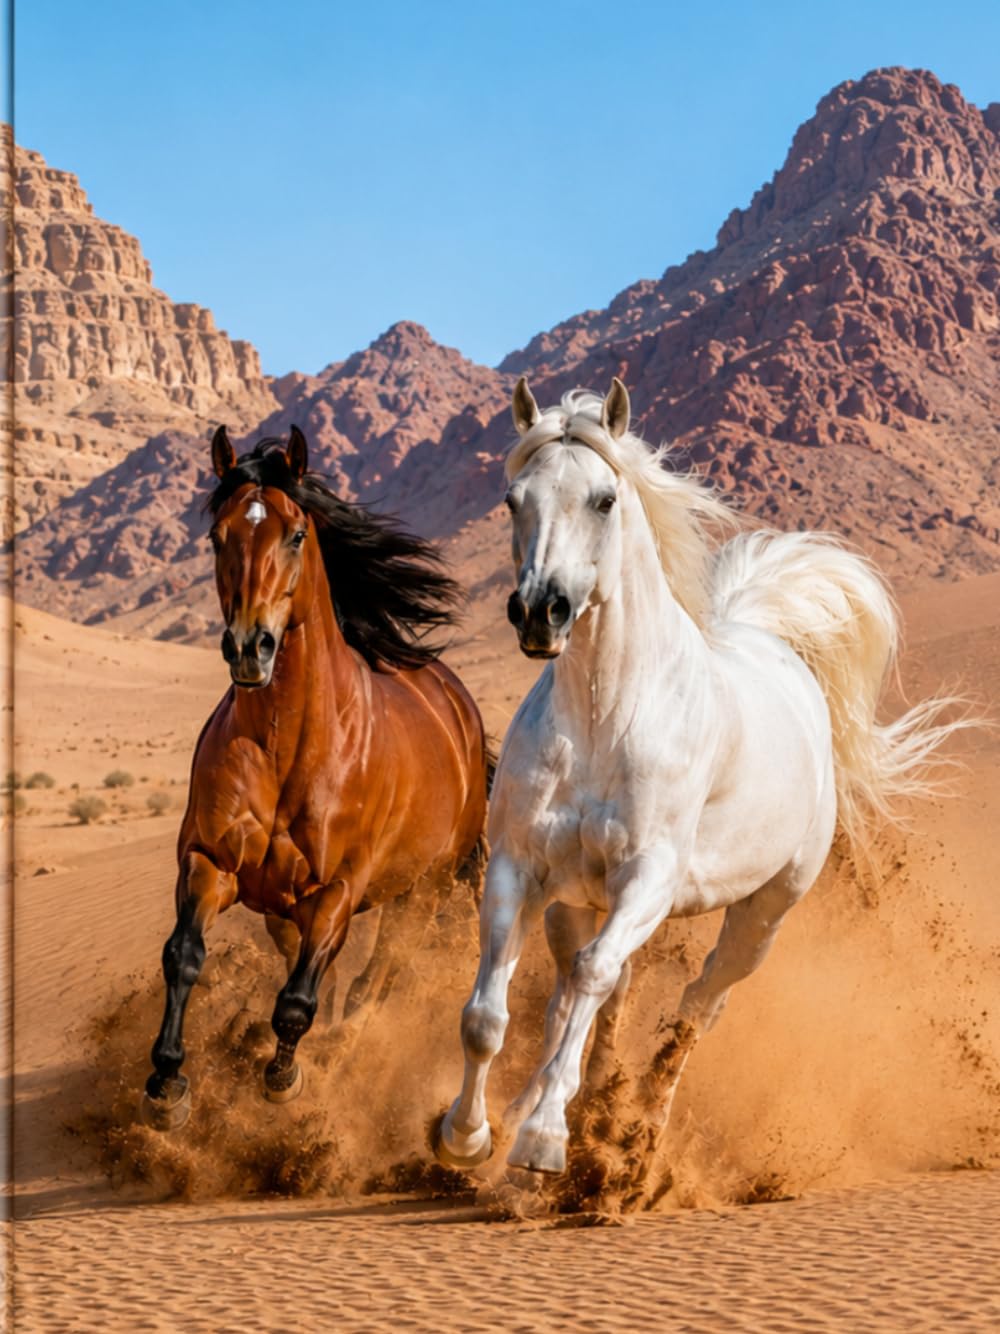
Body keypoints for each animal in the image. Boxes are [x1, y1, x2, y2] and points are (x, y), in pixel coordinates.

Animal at [141, 425, 491, 1130]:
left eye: (297, 534)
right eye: (217, 535)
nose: (250, 648)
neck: (288, 745)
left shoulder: (338, 891)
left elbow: (298, 1000)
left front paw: (283, 1076)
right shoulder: (210, 861)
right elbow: (183, 955)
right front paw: (168, 1082)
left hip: (425, 890)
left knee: (376, 979)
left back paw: (343, 1048)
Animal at [434, 376, 964, 1183]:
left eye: (604, 500)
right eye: (512, 499)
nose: (539, 613)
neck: (605, 718)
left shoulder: (649, 879)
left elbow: (592, 979)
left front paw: (545, 1139)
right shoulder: (519, 868)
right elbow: (489, 1014)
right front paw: (469, 1135)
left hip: (762, 915)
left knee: (694, 1004)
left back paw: (639, 1129)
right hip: (577, 902)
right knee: (580, 996)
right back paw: (556, 1103)